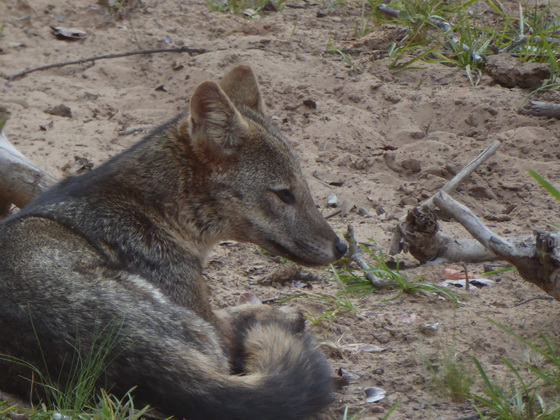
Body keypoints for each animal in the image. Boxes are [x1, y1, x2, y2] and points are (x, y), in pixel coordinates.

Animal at [0, 64, 346, 418]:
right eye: (284, 194)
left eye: (304, 189)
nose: (342, 247)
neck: (156, 209)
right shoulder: (208, 318)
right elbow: (245, 314)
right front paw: (284, 315)